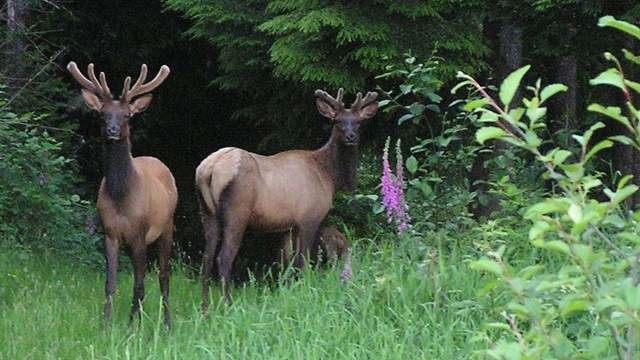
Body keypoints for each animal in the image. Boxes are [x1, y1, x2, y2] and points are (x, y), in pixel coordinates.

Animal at [67, 62, 178, 330]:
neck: (121, 198)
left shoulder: (139, 233)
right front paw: (106, 323)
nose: (113, 130)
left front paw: (132, 324)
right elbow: (110, 283)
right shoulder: (109, 232)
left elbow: (139, 284)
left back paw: (167, 323)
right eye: (102, 113)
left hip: (167, 226)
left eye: (127, 114)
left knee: (163, 277)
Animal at [195, 88, 376, 310]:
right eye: (338, 121)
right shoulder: (309, 218)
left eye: (359, 122)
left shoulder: (288, 227)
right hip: (236, 212)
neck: (330, 177)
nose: (351, 137)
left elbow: (287, 264)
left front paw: (289, 293)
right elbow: (303, 261)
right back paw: (228, 304)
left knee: (206, 257)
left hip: (207, 211)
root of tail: (208, 169)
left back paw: (204, 308)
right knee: (224, 258)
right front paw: (305, 294)